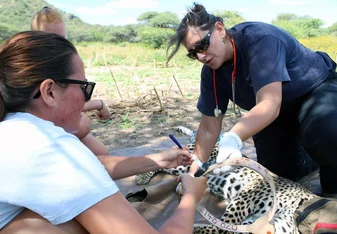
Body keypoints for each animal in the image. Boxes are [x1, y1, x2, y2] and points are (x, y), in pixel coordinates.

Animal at [135, 127, 318, 233]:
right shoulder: (248, 195)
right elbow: (225, 224)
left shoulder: (255, 223)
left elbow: (229, 229)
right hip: (196, 155)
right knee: (164, 159)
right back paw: (141, 176)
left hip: (186, 167)